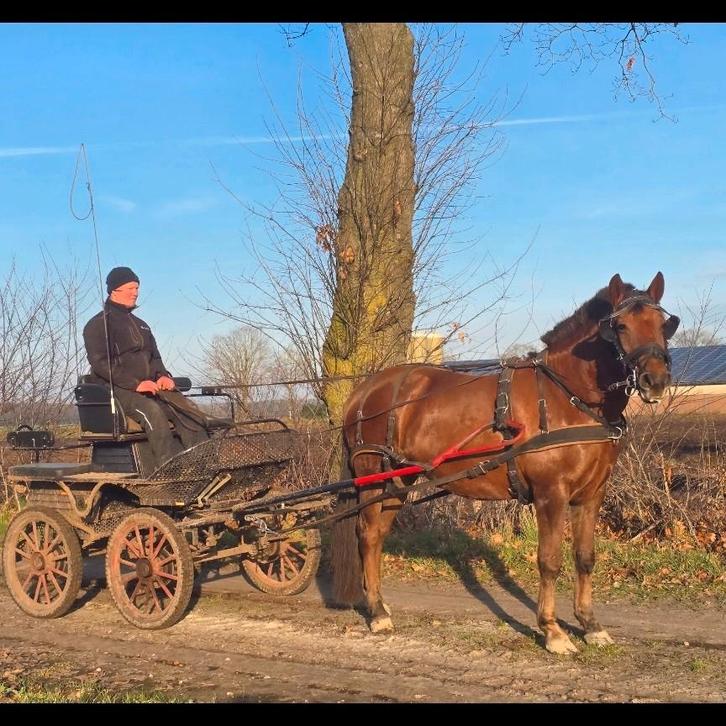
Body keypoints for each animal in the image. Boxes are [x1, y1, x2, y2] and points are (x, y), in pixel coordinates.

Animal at [330, 272, 679, 654]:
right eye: (620, 325)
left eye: (664, 324)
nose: (655, 380)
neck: (566, 396)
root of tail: (364, 390)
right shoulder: (551, 494)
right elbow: (549, 560)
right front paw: (553, 631)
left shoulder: (591, 495)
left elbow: (585, 558)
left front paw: (590, 625)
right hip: (372, 474)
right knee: (366, 534)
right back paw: (377, 613)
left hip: (398, 480)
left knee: (378, 535)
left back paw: (380, 604)